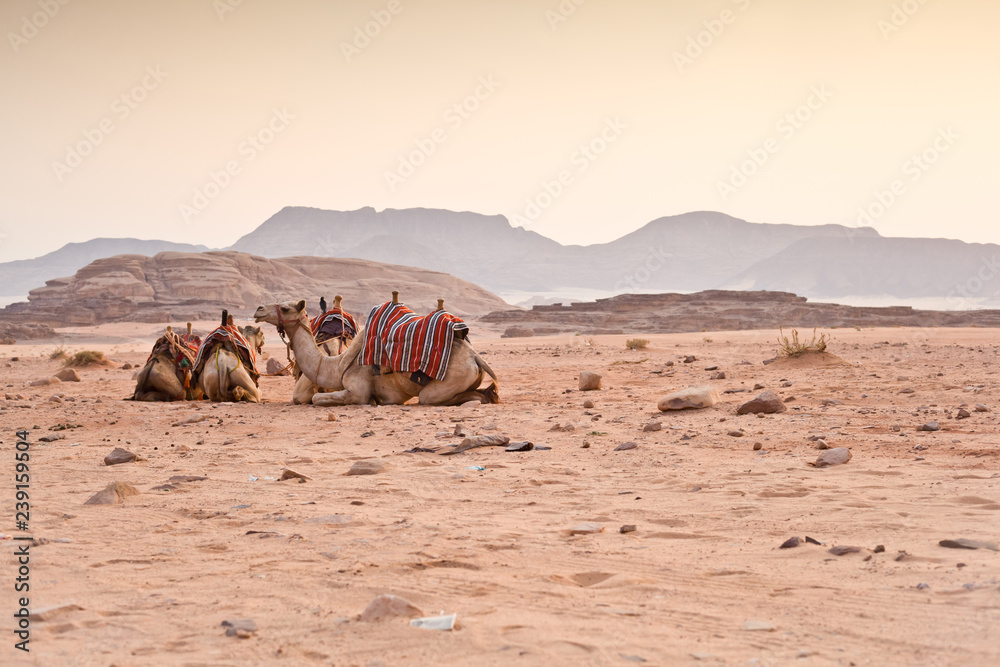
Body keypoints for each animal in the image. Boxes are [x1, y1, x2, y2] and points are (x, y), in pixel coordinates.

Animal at [254, 299, 499, 406]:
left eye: (285, 307)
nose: (258, 310)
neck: (338, 365)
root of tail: (475, 357)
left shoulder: (357, 390)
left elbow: (316, 398)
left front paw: (373, 401)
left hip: (453, 378)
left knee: (431, 398)